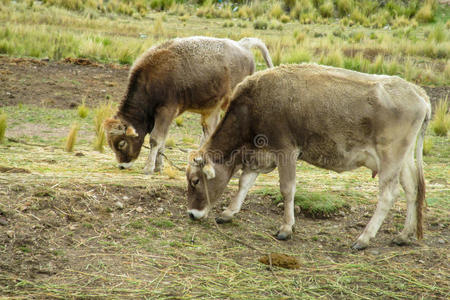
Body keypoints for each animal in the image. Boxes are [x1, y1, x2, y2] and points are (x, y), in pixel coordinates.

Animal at [103, 36, 272, 175]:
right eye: (110, 144)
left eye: (122, 143)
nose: (122, 165)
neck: (149, 81)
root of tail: (243, 45)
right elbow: (163, 139)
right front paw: (158, 166)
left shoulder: (166, 110)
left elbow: (156, 139)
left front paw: (148, 168)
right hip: (212, 109)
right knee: (208, 133)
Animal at [185, 63, 430, 251]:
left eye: (195, 181)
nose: (192, 214)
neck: (252, 106)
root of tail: (418, 93)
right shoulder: (261, 154)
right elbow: (244, 182)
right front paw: (229, 213)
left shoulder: (286, 150)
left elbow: (287, 189)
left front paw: (286, 228)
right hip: (403, 160)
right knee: (412, 189)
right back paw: (404, 235)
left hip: (390, 158)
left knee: (388, 195)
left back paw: (364, 238)